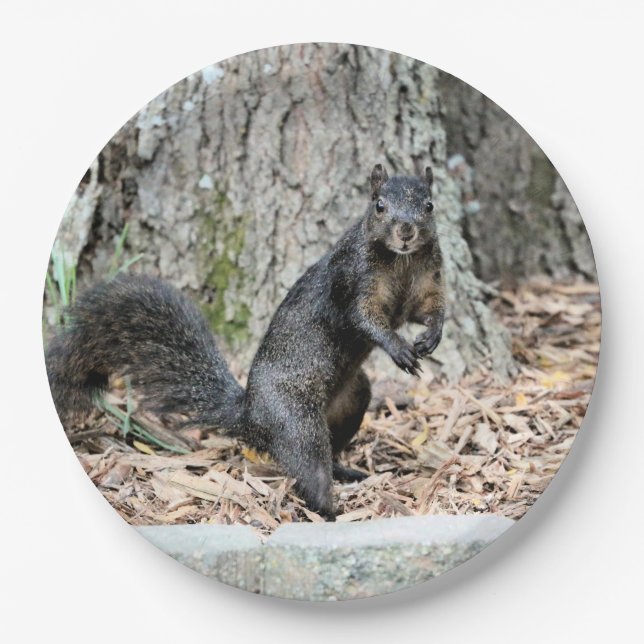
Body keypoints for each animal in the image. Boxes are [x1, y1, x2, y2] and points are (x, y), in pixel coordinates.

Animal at [46, 164, 445, 520]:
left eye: (429, 205)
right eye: (379, 205)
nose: (406, 231)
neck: (401, 262)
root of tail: (250, 415)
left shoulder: (427, 281)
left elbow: (430, 309)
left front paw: (432, 336)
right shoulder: (353, 279)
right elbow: (364, 319)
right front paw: (398, 348)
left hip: (352, 400)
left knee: (332, 448)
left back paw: (345, 472)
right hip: (295, 419)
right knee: (309, 466)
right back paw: (329, 511)